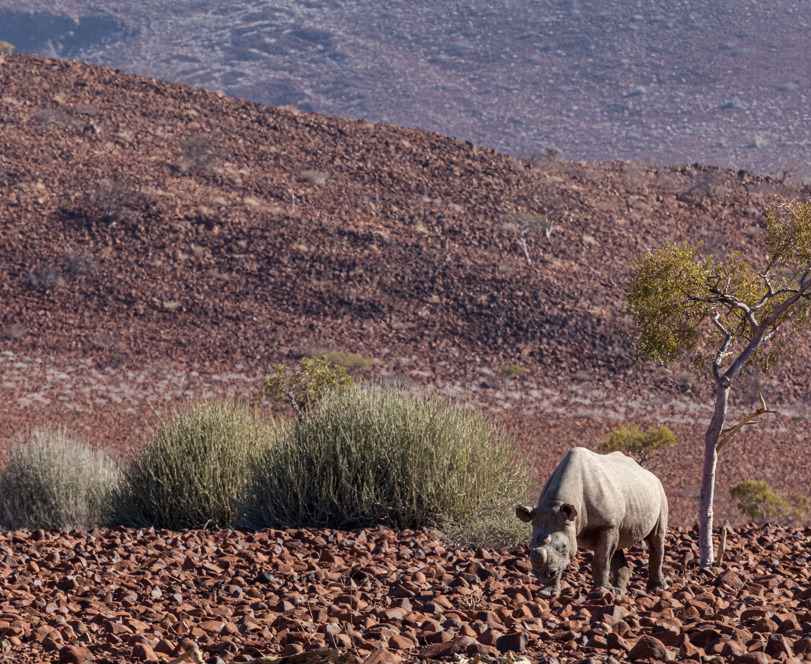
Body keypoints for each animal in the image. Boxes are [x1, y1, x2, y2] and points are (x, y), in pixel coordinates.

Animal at [516, 447, 668, 597]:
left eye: (563, 547)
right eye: (529, 545)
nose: (541, 574)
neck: (556, 503)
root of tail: (650, 474)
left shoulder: (606, 525)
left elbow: (601, 560)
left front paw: (601, 591)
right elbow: (560, 563)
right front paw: (547, 593)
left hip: (659, 490)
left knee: (656, 538)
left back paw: (656, 589)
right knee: (618, 544)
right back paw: (619, 591)